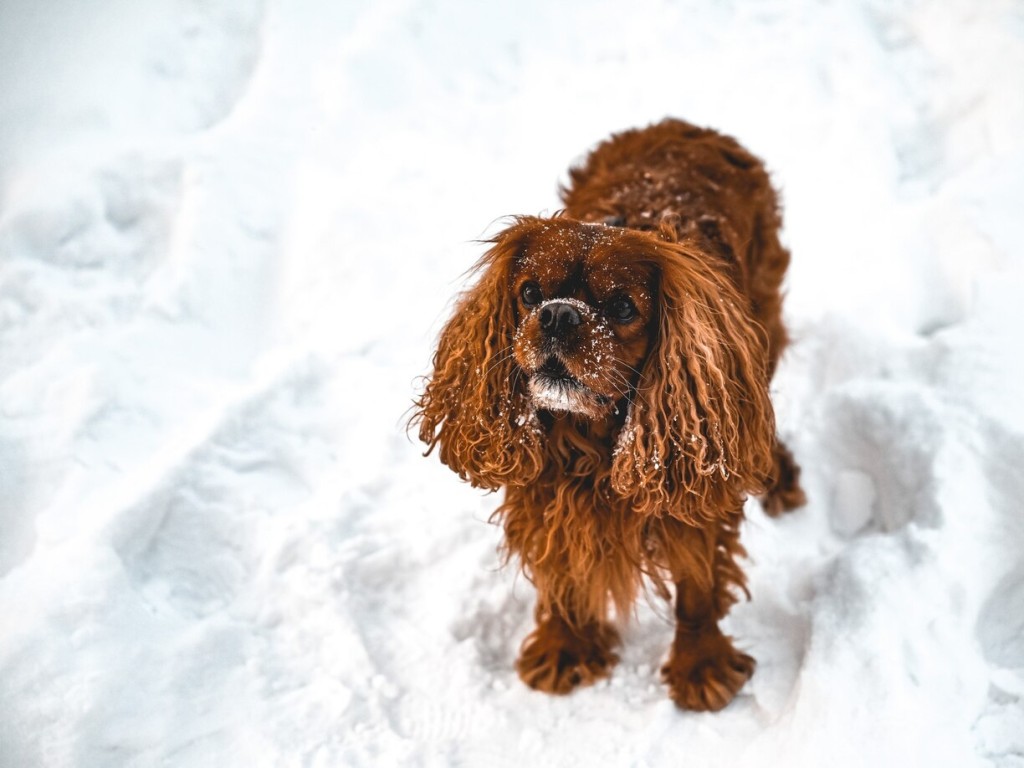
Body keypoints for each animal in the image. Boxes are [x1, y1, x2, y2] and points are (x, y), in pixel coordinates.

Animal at [411, 117, 802, 712]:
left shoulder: (689, 482)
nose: (558, 315)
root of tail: (682, 123)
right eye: (529, 294)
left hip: (760, 327)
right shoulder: (545, 493)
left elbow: (697, 585)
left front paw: (700, 666)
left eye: (620, 307)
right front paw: (565, 645)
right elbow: (561, 570)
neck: (589, 441)